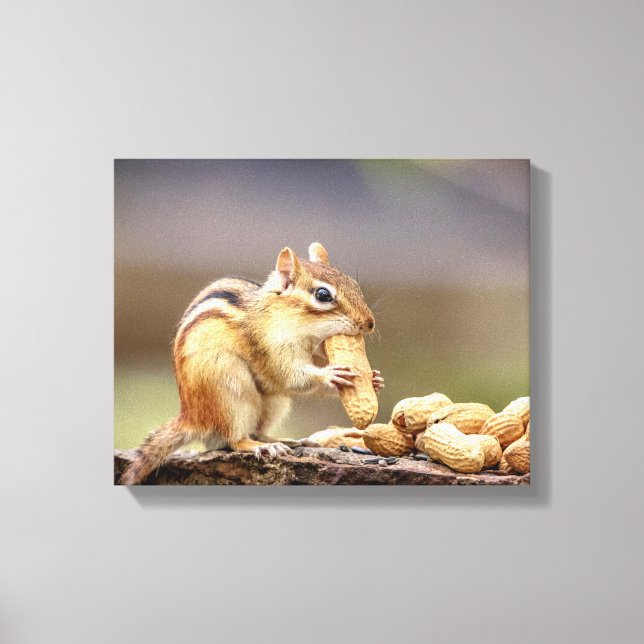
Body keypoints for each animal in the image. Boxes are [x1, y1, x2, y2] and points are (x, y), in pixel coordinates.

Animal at [120, 242, 383, 484]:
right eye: (323, 295)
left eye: (355, 285)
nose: (369, 323)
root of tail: (191, 417)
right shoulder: (270, 347)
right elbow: (291, 377)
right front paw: (330, 374)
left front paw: (374, 378)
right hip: (229, 390)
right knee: (235, 439)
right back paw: (260, 446)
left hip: (274, 402)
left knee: (260, 430)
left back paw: (284, 441)